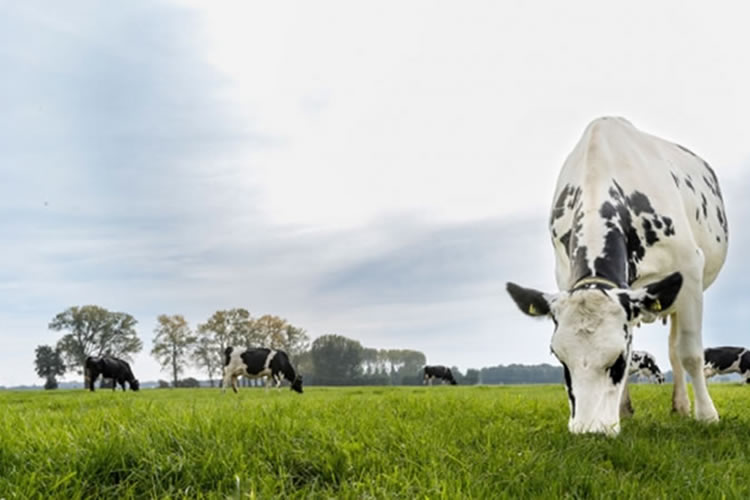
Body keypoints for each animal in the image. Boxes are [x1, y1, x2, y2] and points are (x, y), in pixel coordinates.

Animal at [506, 116, 728, 434]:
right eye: (560, 358)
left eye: (619, 359)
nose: (589, 430)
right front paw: (621, 412)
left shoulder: (689, 270)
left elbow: (691, 353)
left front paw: (708, 415)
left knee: (676, 351)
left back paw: (683, 406)